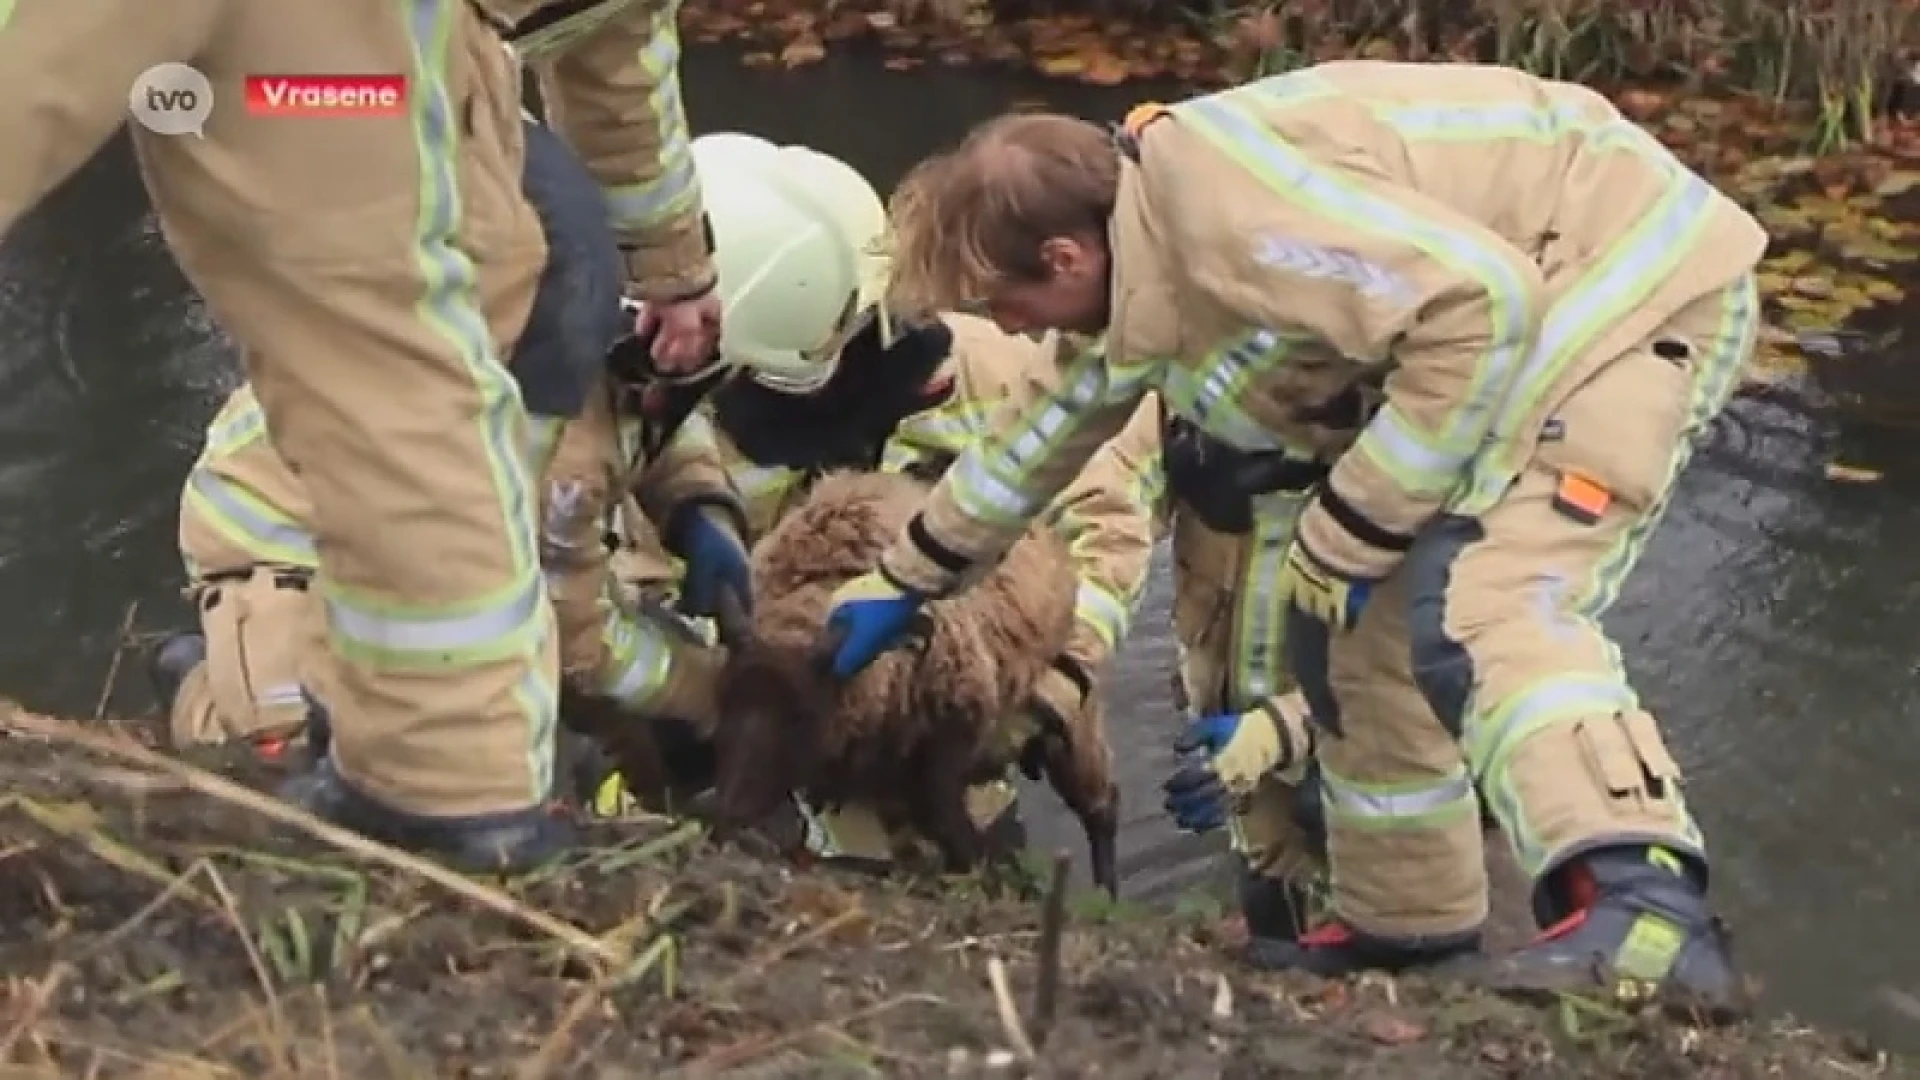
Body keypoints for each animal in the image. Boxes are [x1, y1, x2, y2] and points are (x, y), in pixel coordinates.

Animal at [714, 470, 1121, 891]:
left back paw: (1105, 891)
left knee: (1103, 808)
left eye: (802, 716)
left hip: (1072, 733)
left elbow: (957, 835)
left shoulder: (947, 747)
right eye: (722, 701)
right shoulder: (888, 784)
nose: (726, 818)